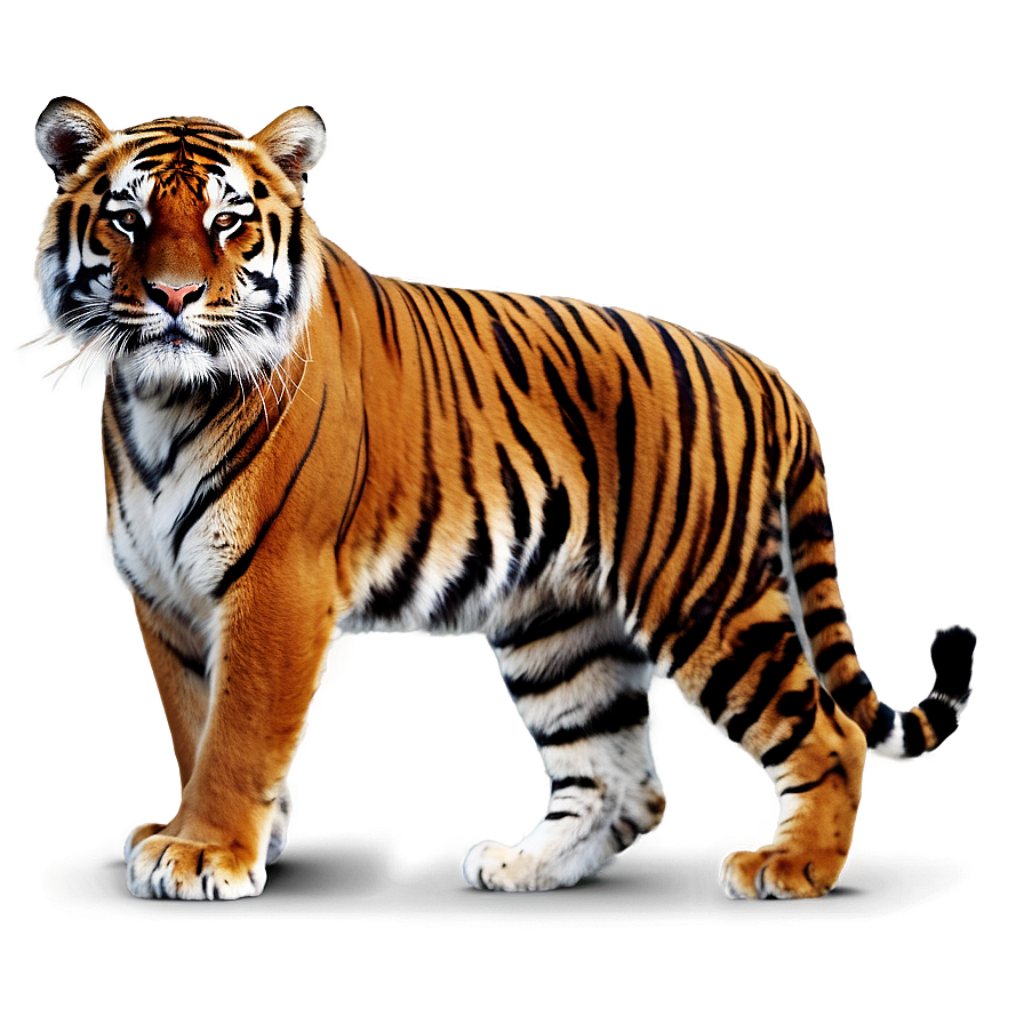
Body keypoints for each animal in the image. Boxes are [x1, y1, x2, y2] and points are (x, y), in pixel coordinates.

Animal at [20, 98, 977, 901]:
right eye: (129, 218)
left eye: (228, 221)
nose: (174, 296)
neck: (160, 402)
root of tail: (769, 373)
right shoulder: (165, 598)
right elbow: (195, 724)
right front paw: (218, 829)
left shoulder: (277, 589)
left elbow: (237, 731)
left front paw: (204, 852)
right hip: (559, 626)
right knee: (623, 781)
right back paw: (521, 867)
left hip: (708, 600)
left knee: (828, 734)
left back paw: (793, 867)